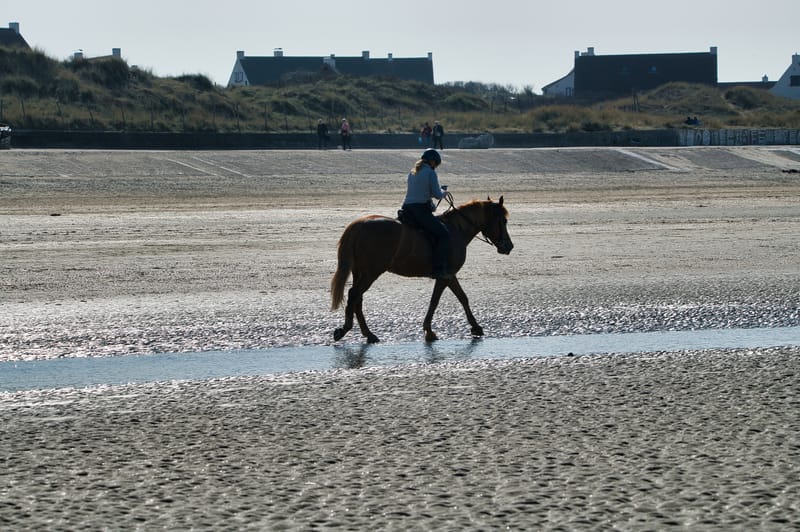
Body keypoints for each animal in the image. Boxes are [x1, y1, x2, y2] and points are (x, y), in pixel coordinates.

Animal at [331, 196, 513, 343]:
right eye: (503, 221)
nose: (509, 246)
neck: (456, 230)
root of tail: (358, 225)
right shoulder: (445, 276)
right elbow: (435, 301)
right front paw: (429, 331)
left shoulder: (450, 275)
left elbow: (462, 298)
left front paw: (475, 327)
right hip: (371, 273)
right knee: (354, 295)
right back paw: (346, 329)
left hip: (360, 272)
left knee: (357, 299)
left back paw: (368, 334)